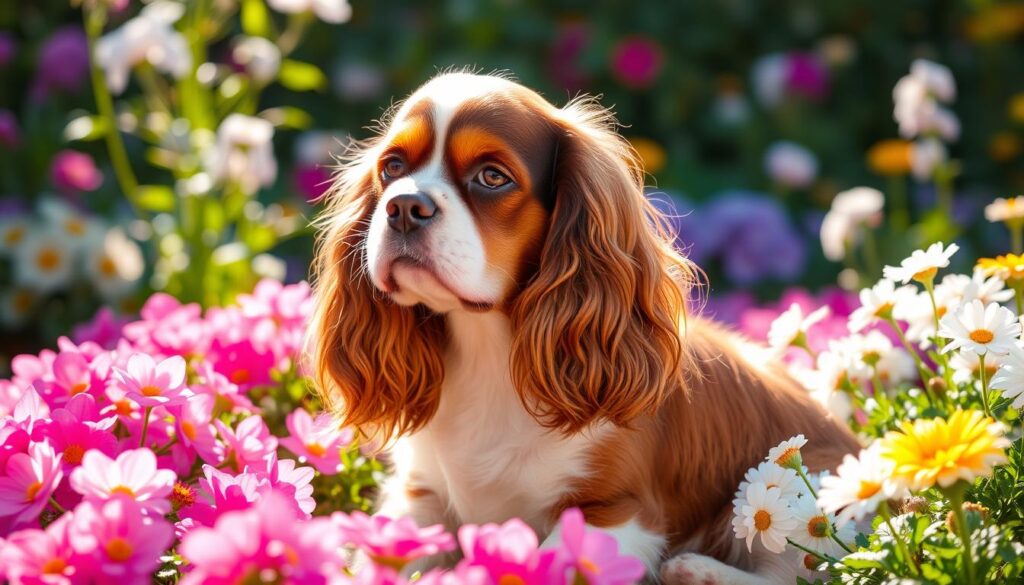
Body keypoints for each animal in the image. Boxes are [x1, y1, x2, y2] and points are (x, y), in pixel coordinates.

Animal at [307, 74, 860, 585]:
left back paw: (697, 570)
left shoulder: (616, 511)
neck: (490, 348)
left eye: (492, 177)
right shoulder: (419, 499)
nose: (403, 206)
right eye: (392, 168)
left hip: (800, 481)